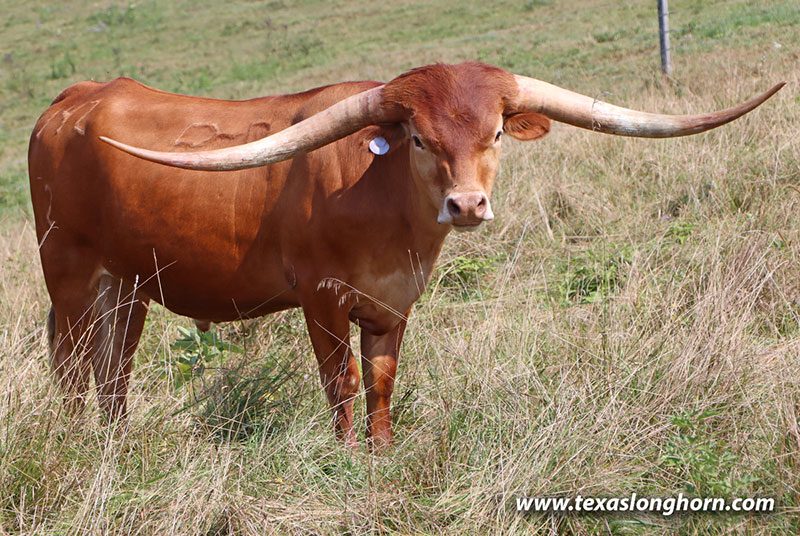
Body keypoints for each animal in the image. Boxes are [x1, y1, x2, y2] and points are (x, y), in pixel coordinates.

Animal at [29, 62, 782, 448]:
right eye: (419, 138)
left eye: (496, 132)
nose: (468, 205)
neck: (384, 204)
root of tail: (77, 98)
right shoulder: (321, 299)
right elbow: (342, 382)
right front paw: (344, 458)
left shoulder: (393, 303)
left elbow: (382, 382)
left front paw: (383, 453)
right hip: (69, 275)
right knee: (71, 367)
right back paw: (76, 446)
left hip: (127, 285)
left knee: (113, 370)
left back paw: (117, 444)